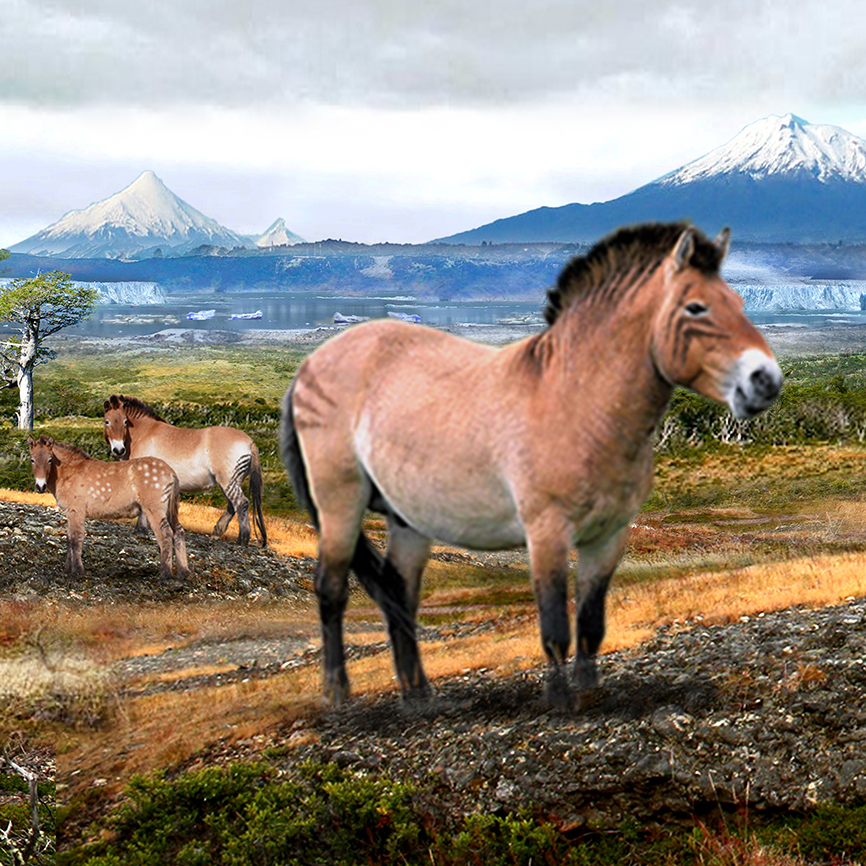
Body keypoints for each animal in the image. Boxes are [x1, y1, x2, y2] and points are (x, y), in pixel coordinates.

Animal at [28, 435, 189, 581]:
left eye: (49, 460)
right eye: (32, 459)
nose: (40, 487)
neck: (68, 472)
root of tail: (171, 472)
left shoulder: (76, 511)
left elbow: (76, 538)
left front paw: (77, 571)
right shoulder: (69, 512)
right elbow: (68, 538)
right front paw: (68, 568)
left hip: (154, 509)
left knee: (165, 534)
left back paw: (165, 575)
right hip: (169, 510)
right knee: (178, 532)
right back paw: (184, 573)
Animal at [103, 395, 267, 547]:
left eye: (125, 422)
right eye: (107, 421)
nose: (118, 450)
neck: (144, 433)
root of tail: (250, 442)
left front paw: (140, 529)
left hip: (228, 481)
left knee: (241, 503)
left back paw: (242, 539)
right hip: (229, 483)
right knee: (232, 505)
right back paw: (217, 532)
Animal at [280, 222, 783, 707]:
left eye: (739, 302)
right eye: (696, 307)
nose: (766, 381)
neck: (579, 404)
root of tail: (311, 365)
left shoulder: (609, 537)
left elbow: (591, 624)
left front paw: (590, 692)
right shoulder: (547, 532)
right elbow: (555, 625)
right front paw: (559, 701)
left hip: (409, 519)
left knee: (398, 592)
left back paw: (420, 697)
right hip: (340, 503)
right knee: (331, 588)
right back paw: (339, 695)